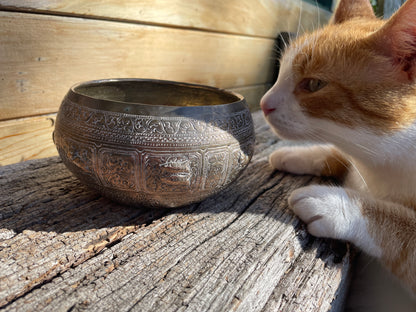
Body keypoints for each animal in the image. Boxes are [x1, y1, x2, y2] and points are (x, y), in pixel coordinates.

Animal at [260, 0, 416, 294]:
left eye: (313, 84)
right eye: (282, 70)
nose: (263, 104)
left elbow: (402, 230)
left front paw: (337, 205)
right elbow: (338, 154)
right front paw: (295, 154)